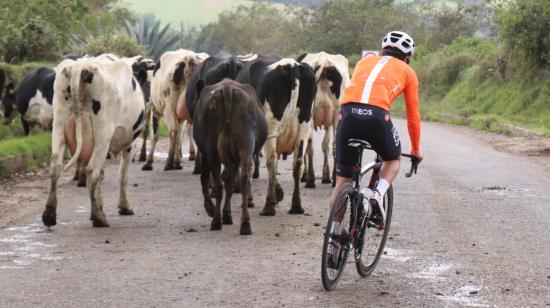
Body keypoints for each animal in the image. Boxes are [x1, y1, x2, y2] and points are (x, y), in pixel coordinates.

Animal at [42, 56, 147, 227]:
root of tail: (80, 66)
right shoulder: (130, 144)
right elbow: (122, 175)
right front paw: (123, 207)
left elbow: (102, 176)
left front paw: (100, 205)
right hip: (103, 133)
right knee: (92, 169)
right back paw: (99, 217)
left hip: (58, 125)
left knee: (55, 165)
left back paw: (49, 214)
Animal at [194, 80, 270, 236]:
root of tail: (227, 88)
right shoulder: (235, 159)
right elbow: (229, 184)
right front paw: (227, 214)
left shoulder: (204, 153)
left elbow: (205, 179)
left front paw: (211, 209)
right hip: (246, 147)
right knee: (243, 179)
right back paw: (245, 224)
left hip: (212, 150)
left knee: (218, 184)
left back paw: (216, 221)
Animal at [237, 54, 320, 215]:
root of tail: (292, 65)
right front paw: (278, 193)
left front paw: (250, 199)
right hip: (304, 124)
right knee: (297, 162)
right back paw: (296, 206)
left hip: (271, 126)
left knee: (271, 158)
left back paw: (269, 206)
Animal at [300, 52, 352, 188]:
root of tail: (323, 61)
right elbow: (325, 146)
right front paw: (326, 176)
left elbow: (324, 146)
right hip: (337, 113)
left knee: (311, 145)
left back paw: (310, 179)